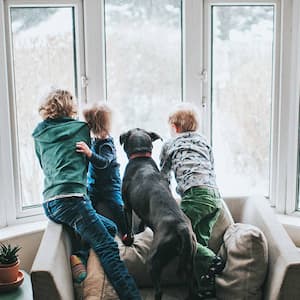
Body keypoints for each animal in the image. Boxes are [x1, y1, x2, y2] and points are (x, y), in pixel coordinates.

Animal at [119, 127, 197, 300]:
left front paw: (129, 240)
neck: (141, 156)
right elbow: (141, 222)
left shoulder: (127, 206)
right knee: (191, 283)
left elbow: (128, 226)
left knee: (159, 290)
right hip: (189, 259)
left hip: (154, 260)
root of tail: (182, 228)